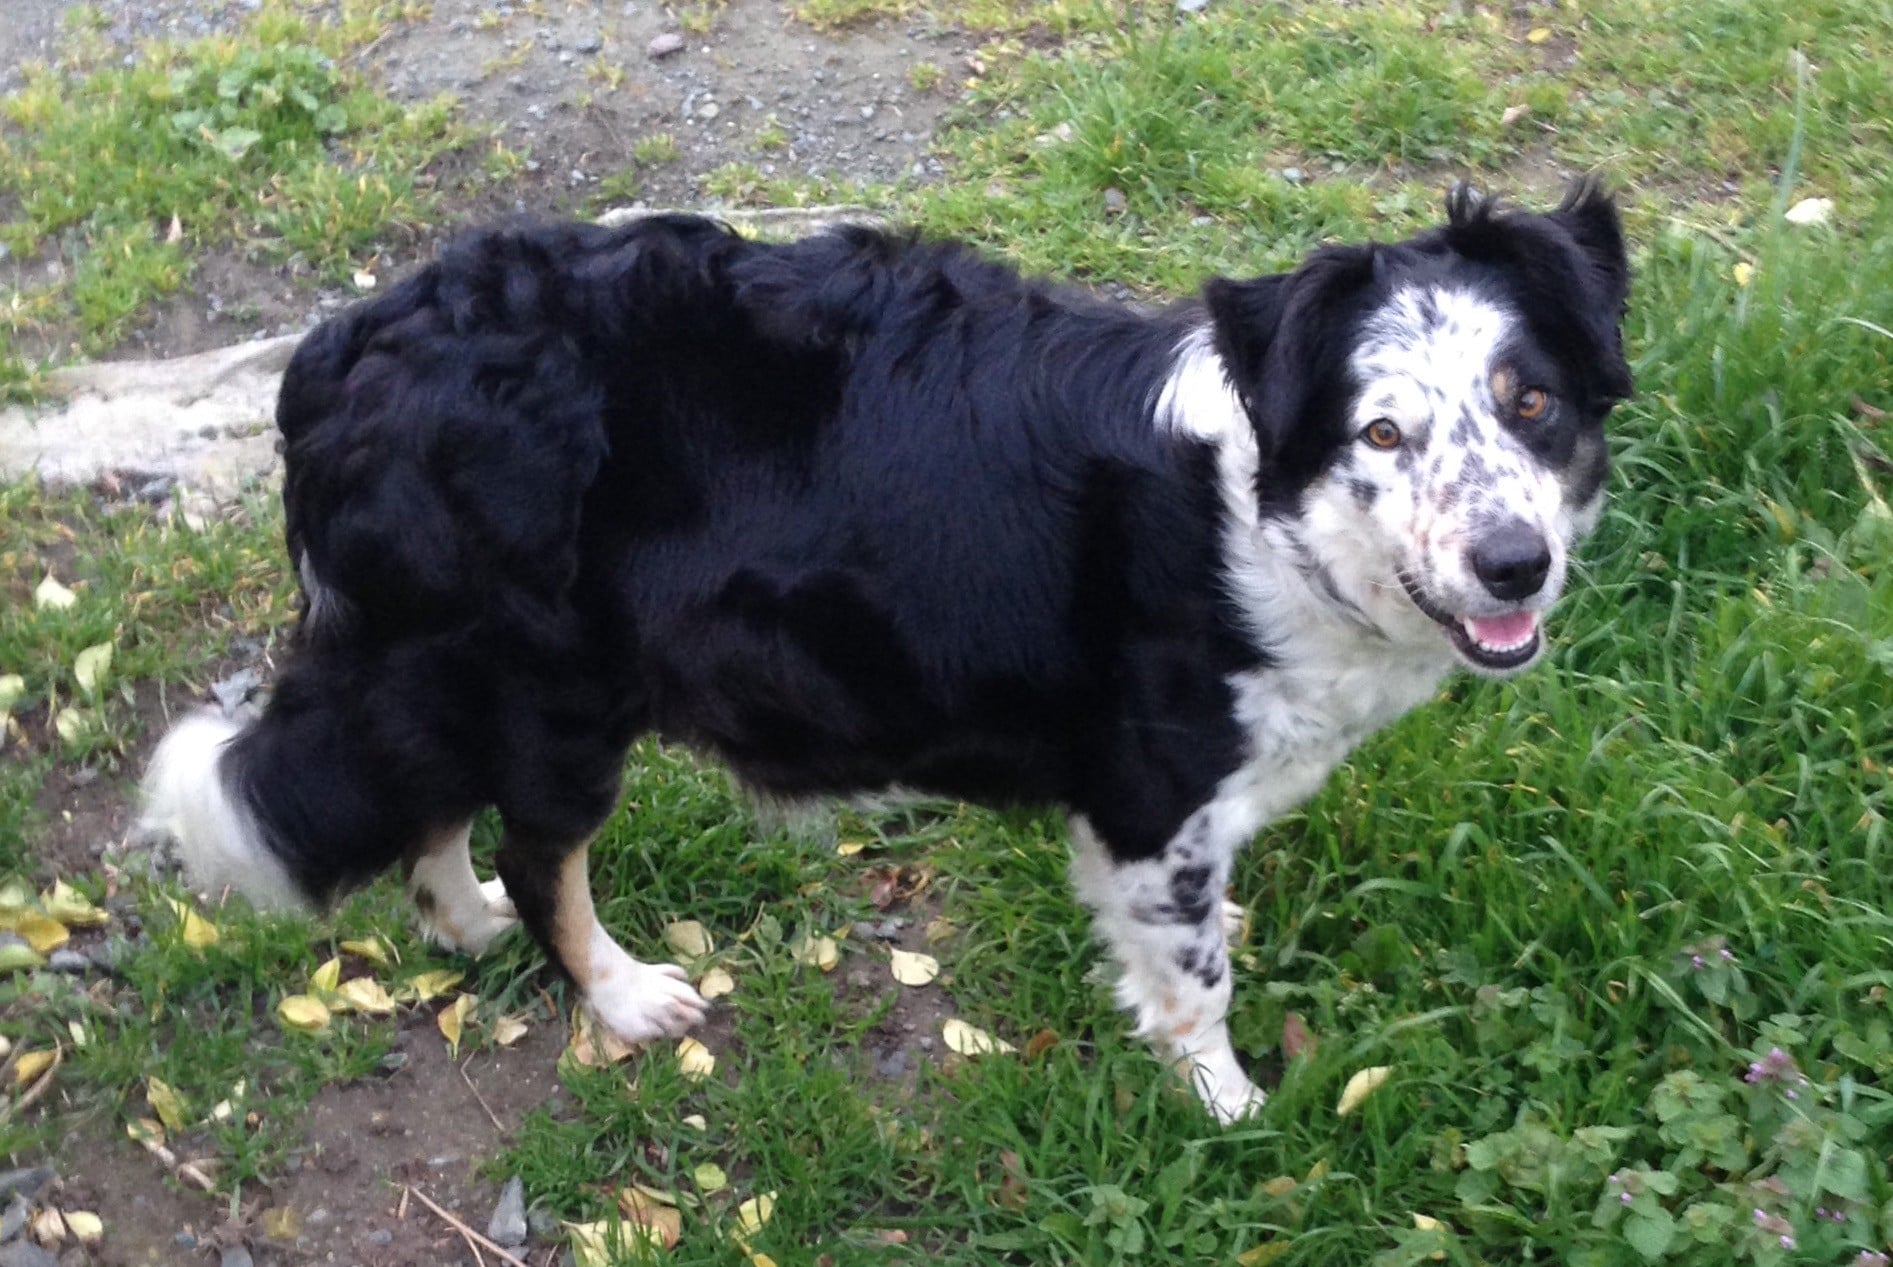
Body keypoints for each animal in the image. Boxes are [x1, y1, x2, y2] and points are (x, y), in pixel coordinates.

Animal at [143, 183, 1631, 1122]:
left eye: (1532, 403)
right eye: (1382, 431)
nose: (1516, 564)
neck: (1264, 510)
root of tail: (344, 352)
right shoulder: (1150, 793)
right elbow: (1193, 979)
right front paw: (1230, 1104)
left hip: (457, 670)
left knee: (437, 807)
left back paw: (464, 925)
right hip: (552, 682)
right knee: (532, 844)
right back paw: (620, 994)